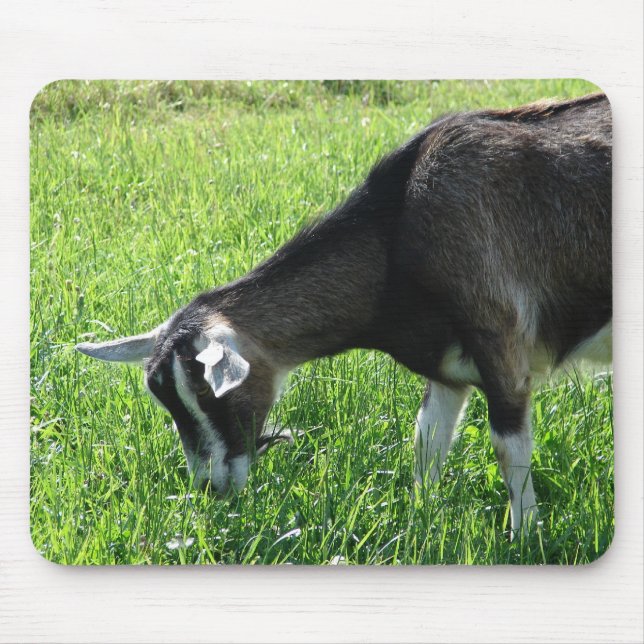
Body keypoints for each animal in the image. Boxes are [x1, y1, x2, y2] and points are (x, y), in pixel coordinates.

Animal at [76, 93, 612, 537]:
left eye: (208, 392)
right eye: (165, 401)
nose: (212, 486)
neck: (397, 232)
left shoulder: (502, 347)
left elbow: (508, 450)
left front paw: (525, 539)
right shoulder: (447, 369)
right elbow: (426, 441)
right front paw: (419, 521)